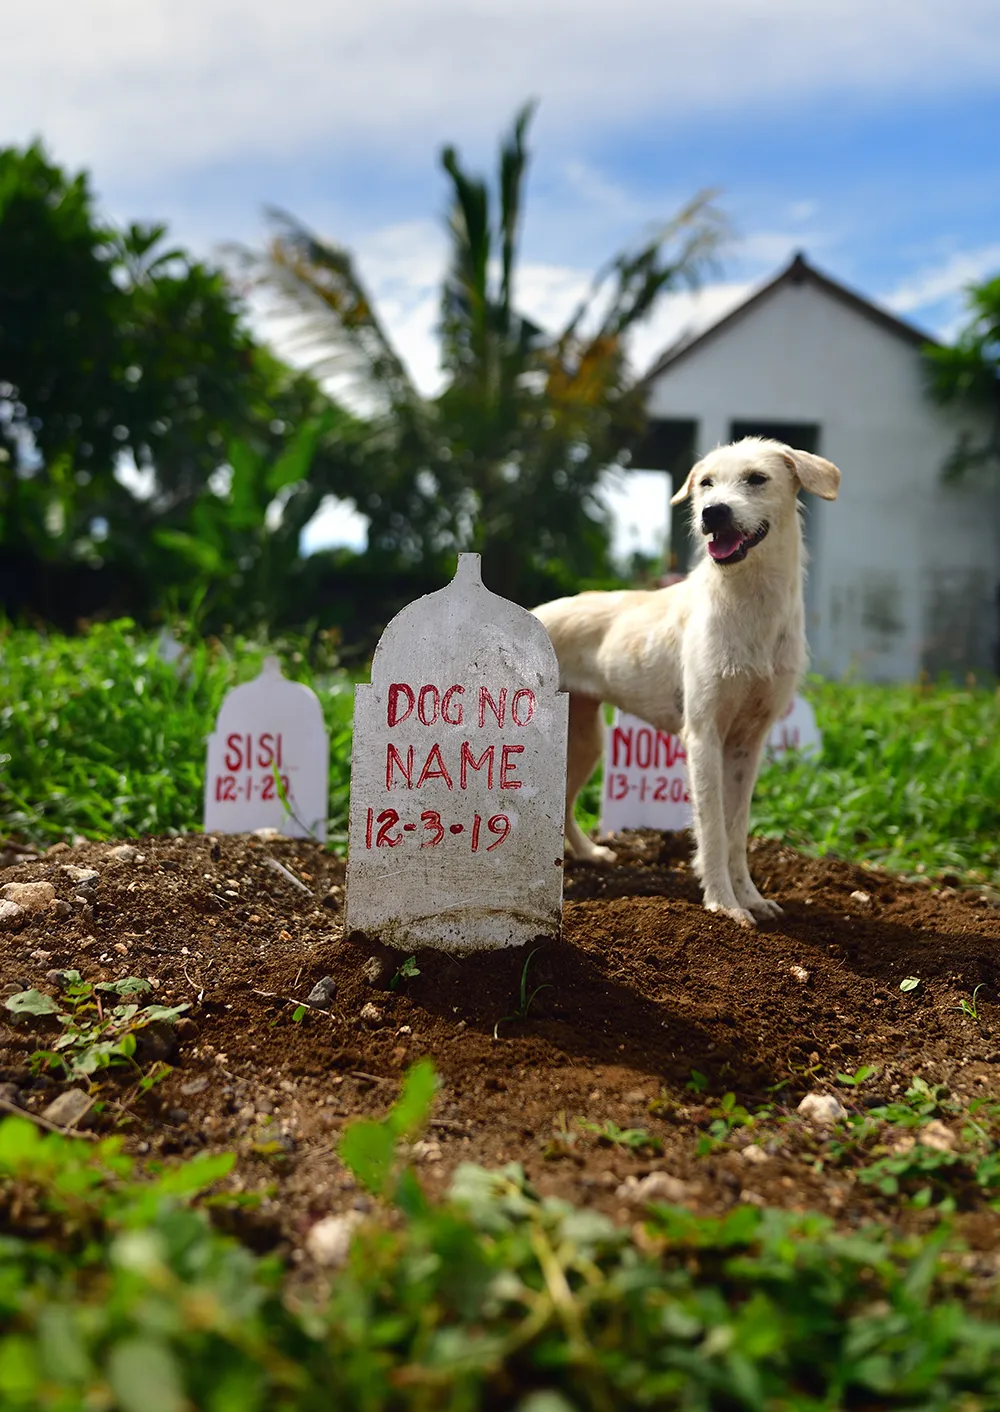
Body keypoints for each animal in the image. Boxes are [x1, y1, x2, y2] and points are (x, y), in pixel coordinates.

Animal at [533, 437, 841, 926]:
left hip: (585, 741)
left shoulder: (748, 744)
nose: (713, 513)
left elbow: (736, 830)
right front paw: (723, 904)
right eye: (706, 484)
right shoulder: (703, 737)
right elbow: (712, 829)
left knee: (562, 802)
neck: (750, 603)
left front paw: (750, 897)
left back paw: (588, 854)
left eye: (757, 478)